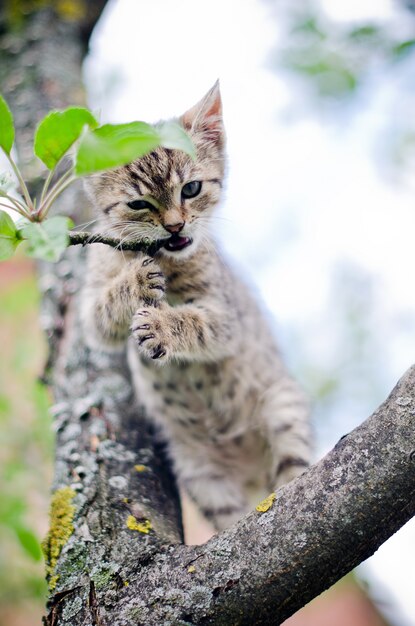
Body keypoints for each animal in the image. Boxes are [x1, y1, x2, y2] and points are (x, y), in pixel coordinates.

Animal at [82, 83, 312, 528]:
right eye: (139, 204)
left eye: (190, 189)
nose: (175, 226)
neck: (168, 262)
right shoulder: (95, 307)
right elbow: (102, 314)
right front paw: (135, 280)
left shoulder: (226, 317)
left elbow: (198, 321)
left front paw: (162, 326)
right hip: (200, 471)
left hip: (283, 407)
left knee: (291, 470)